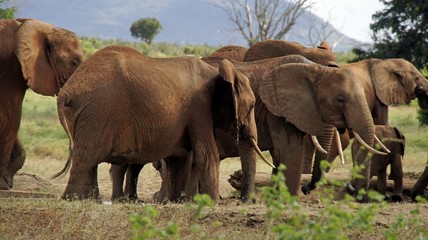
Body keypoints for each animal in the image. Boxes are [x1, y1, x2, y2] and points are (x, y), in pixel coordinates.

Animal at [0, 18, 83, 189]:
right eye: (74, 62)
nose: (56, 175)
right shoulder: (11, 68)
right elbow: (11, 118)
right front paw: (3, 185)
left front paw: (7, 182)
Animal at [53, 44, 260, 201]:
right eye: (251, 106)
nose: (241, 201)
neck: (218, 72)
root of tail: (66, 91)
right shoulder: (200, 107)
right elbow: (206, 154)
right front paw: (211, 203)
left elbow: (181, 157)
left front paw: (176, 201)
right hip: (97, 112)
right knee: (87, 157)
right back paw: (74, 199)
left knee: (89, 160)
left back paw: (88, 199)